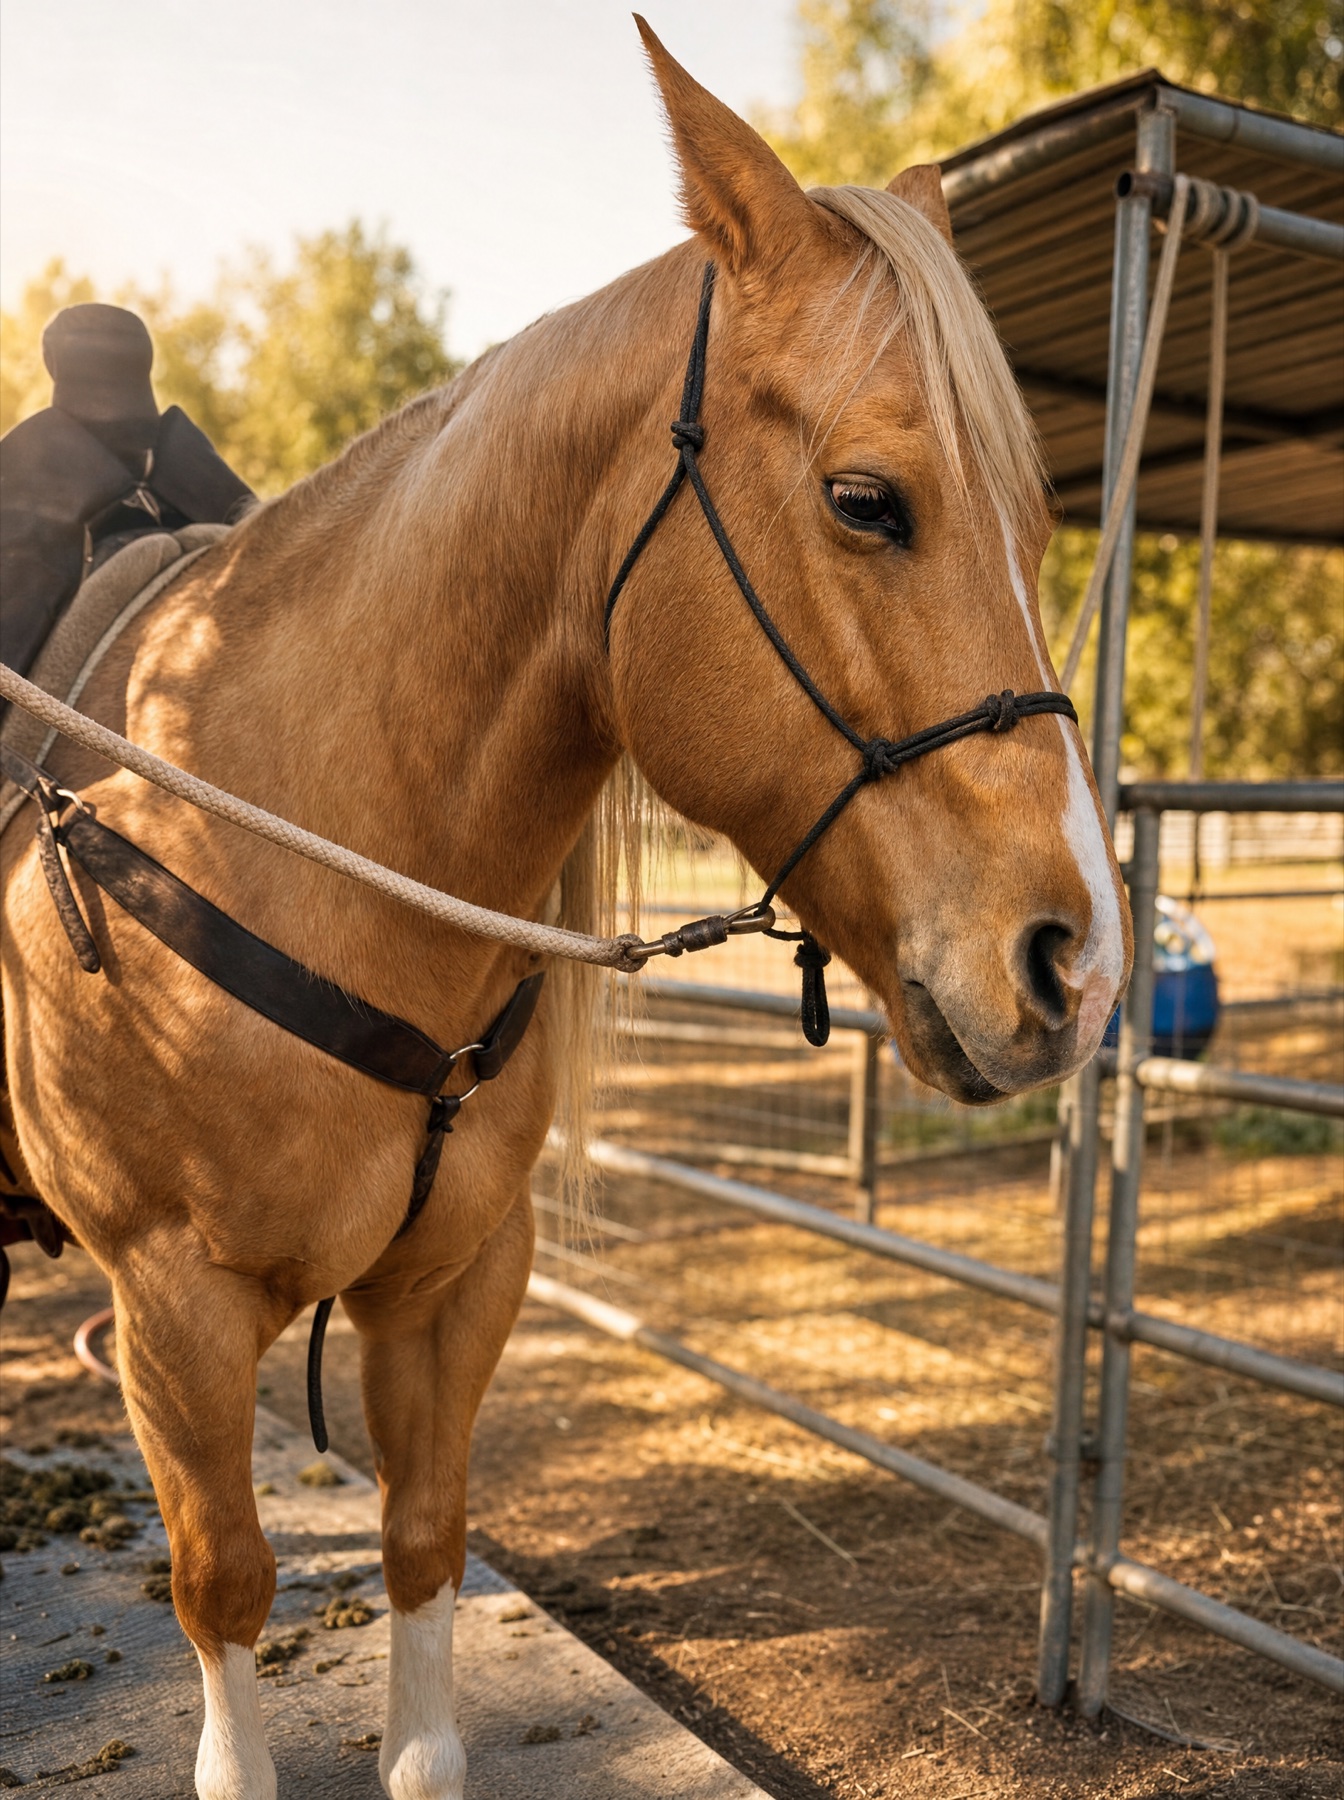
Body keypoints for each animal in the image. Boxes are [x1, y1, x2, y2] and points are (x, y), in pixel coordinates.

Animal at [0, 21, 1131, 1800]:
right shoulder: (172, 1306)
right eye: (867, 500)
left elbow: (425, 1553)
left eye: (1035, 524)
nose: (1077, 963)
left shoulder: (460, 1285)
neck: (279, 839)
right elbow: (226, 1587)